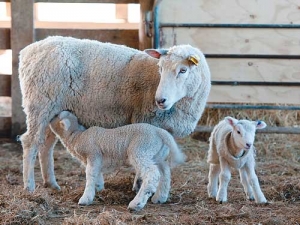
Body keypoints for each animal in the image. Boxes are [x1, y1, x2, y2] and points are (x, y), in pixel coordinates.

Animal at [19, 35, 211, 192]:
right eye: (160, 68)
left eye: (183, 70)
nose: (160, 100)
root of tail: (28, 51)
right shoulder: (145, 120)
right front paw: (139, 185)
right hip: (40, 104)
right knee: (31, 141)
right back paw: (29, 186)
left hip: (53, 109)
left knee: (46, 144)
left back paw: (51, 183)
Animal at [49, 110, 185, 211]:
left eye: (57, 116)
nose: (50, 117)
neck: (76, 136)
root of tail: (160, 132)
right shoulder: (94, 159)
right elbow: (96, 173)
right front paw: (98, 187)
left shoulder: (93, 154)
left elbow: (90, 174)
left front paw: (85, 198)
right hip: (157, 155)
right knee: (165, 173)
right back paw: (160, 197)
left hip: (141, 149)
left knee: (152, 173)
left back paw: (137, 203)